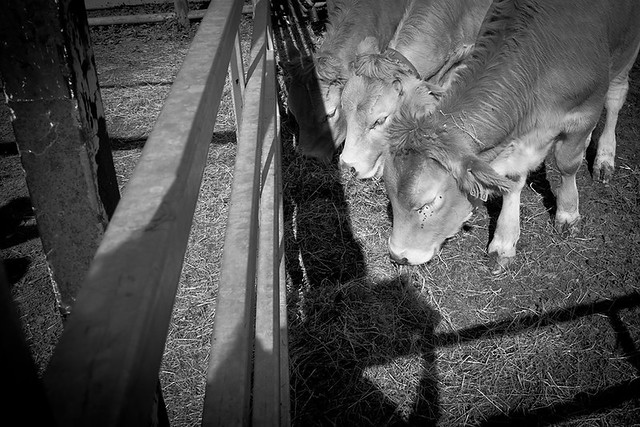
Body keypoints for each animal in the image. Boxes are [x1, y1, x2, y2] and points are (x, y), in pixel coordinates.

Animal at [383, 0, 640, 267]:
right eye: (390, 196)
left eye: (430, 201)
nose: (398, 255)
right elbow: (512, 179)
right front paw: (504, 241)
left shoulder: (583, 112)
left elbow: (567, 164)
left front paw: (568, 213)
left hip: (627, 51)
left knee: (615, 98)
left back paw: (604, 159)